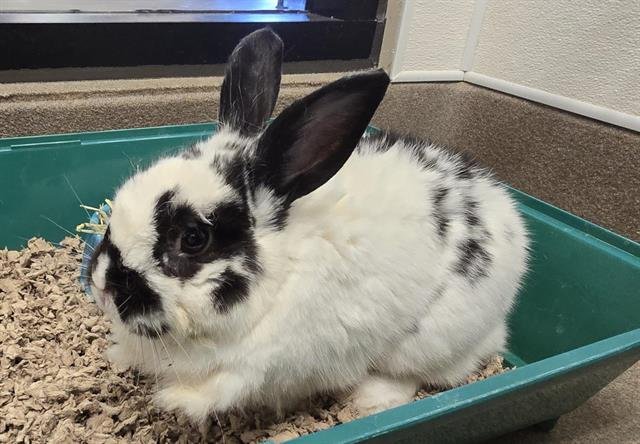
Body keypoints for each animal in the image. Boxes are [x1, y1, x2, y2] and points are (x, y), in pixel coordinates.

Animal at [88, 27, 529, 424]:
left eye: (194, 238)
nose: (102, 285)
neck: (283, 270)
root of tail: (509, 214)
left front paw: (177, 401)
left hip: (428, 341)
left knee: (421, 374)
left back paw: (371, 399)